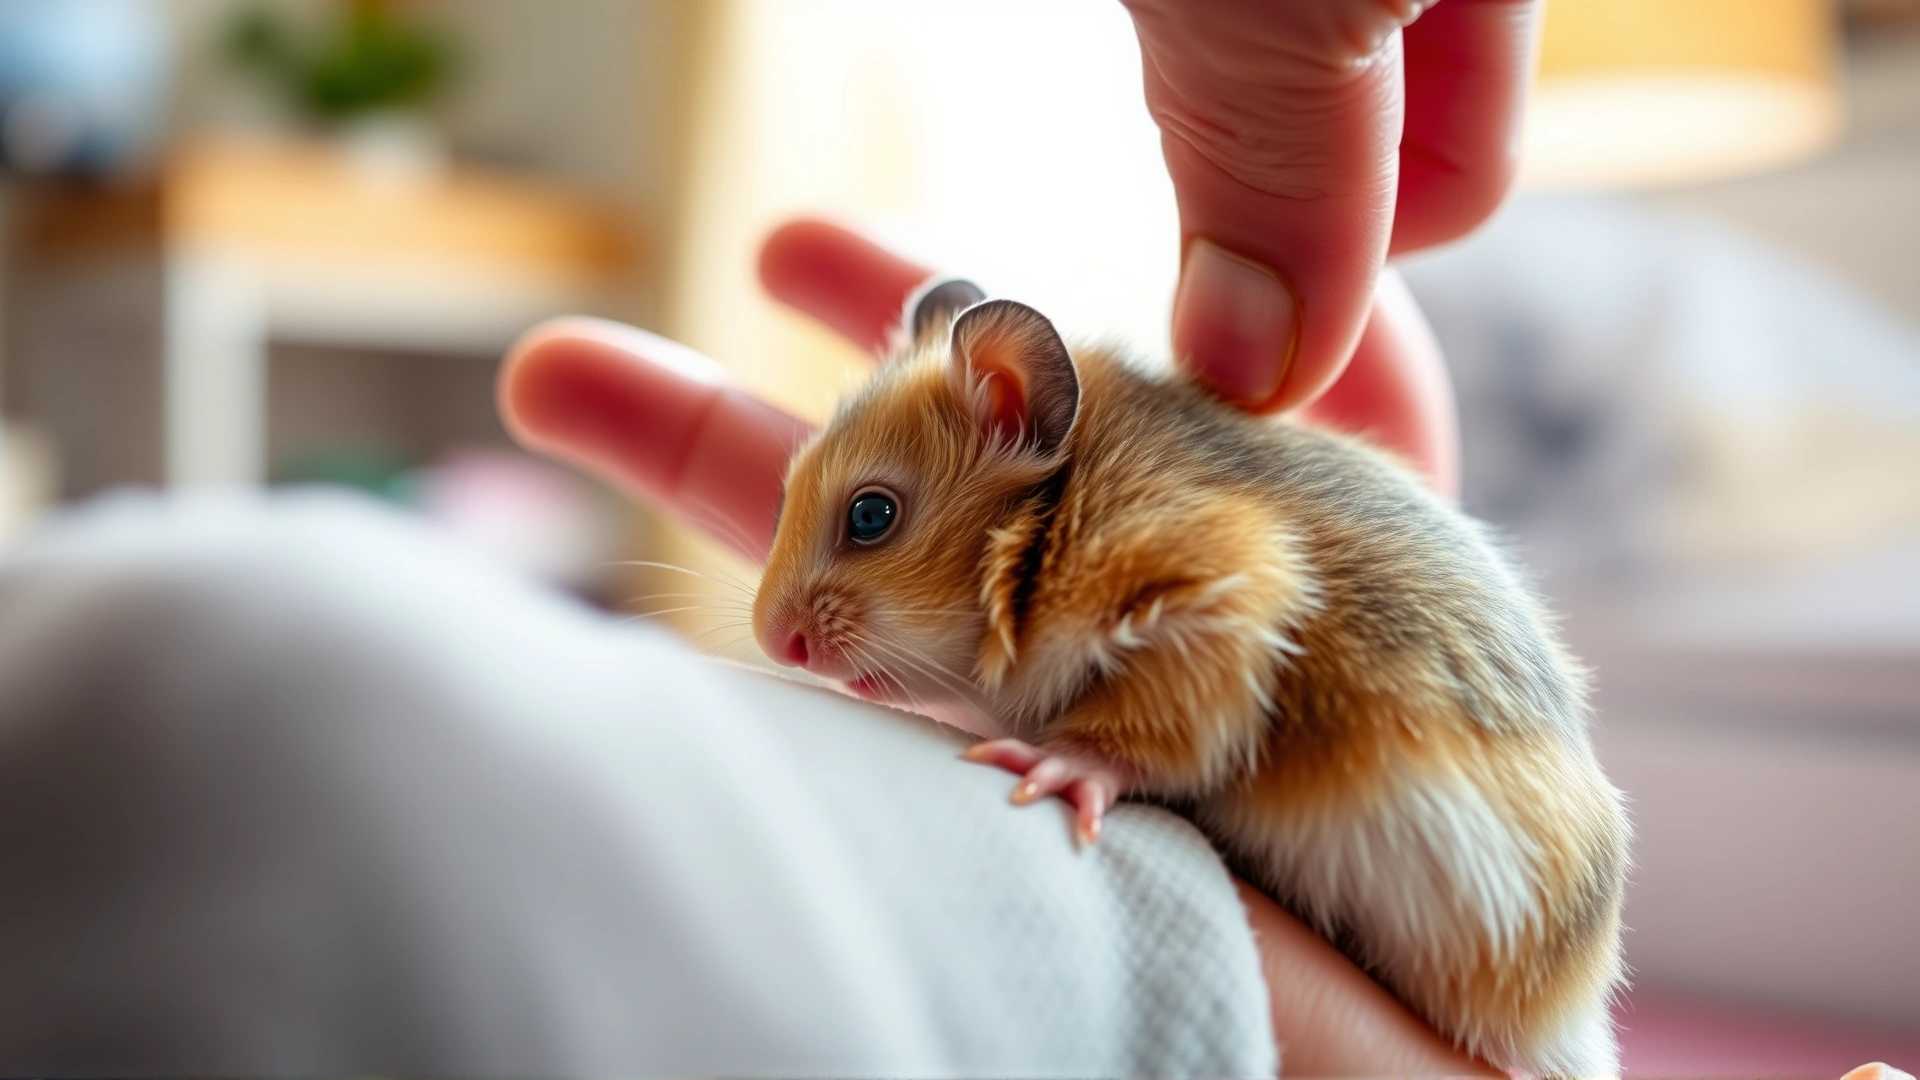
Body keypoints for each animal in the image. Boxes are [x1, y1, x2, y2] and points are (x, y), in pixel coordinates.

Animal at [751, 281, 1629, 1078]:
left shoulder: (1215, 589)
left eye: (871, 516)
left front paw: (1052, 765)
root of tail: (1575, 1016)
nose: (770, 640)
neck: (1051, 517)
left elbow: (1136, 736)